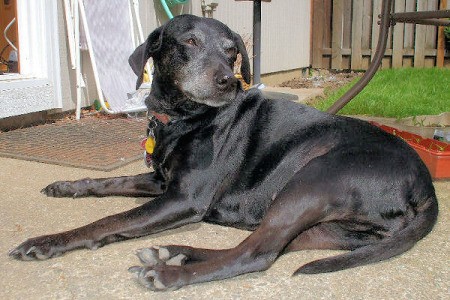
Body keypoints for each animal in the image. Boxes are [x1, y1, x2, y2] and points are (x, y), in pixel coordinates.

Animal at [9, 14, 440, 290]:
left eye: (232, 50)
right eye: (189, 42)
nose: (226, 81)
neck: (181, 117)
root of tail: (426, 187)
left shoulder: (183, 198)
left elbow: (111, 220)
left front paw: (47, 242)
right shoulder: (160, 181)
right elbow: (109, 183)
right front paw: (68, 186)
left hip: (309, 184)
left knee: (256, 254)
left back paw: (169, 273)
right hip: (336, 228)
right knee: (275, 245)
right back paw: (172, 252)